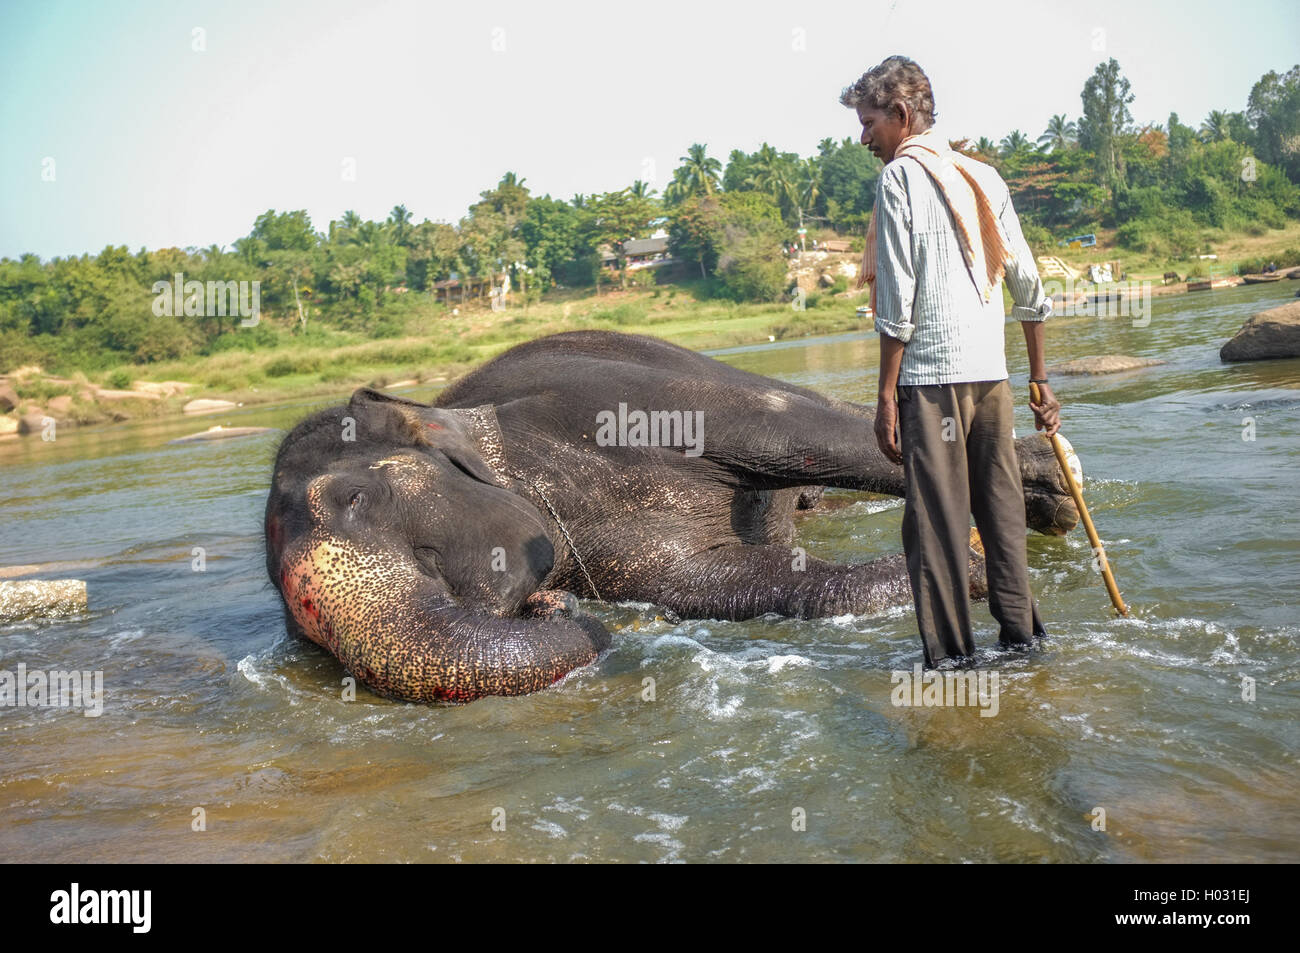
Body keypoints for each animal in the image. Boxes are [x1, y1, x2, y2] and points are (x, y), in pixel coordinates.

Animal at [266, 330, 1076, 702]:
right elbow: (746, 582)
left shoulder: (602, 399)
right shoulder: (619, 562)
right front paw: (969, 567)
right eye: (303, 635)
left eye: (353, 499)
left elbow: (787, 430)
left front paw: (1038, 499)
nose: (549, 605)